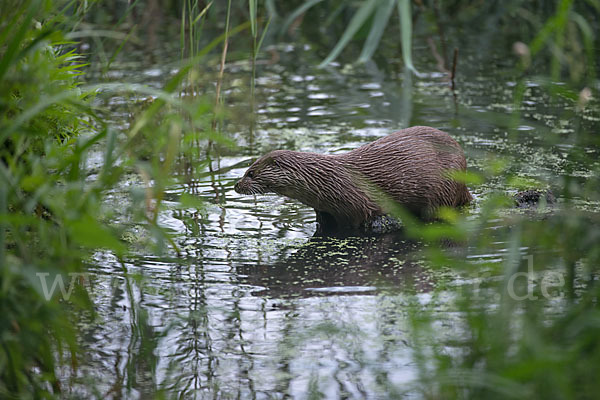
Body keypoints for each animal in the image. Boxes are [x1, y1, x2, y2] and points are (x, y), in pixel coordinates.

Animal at [234, 125, 474, 231]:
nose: (236, 185)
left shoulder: (356, 206)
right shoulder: (323, 209)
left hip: (442, 189)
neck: (327, 182)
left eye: (250, 173)